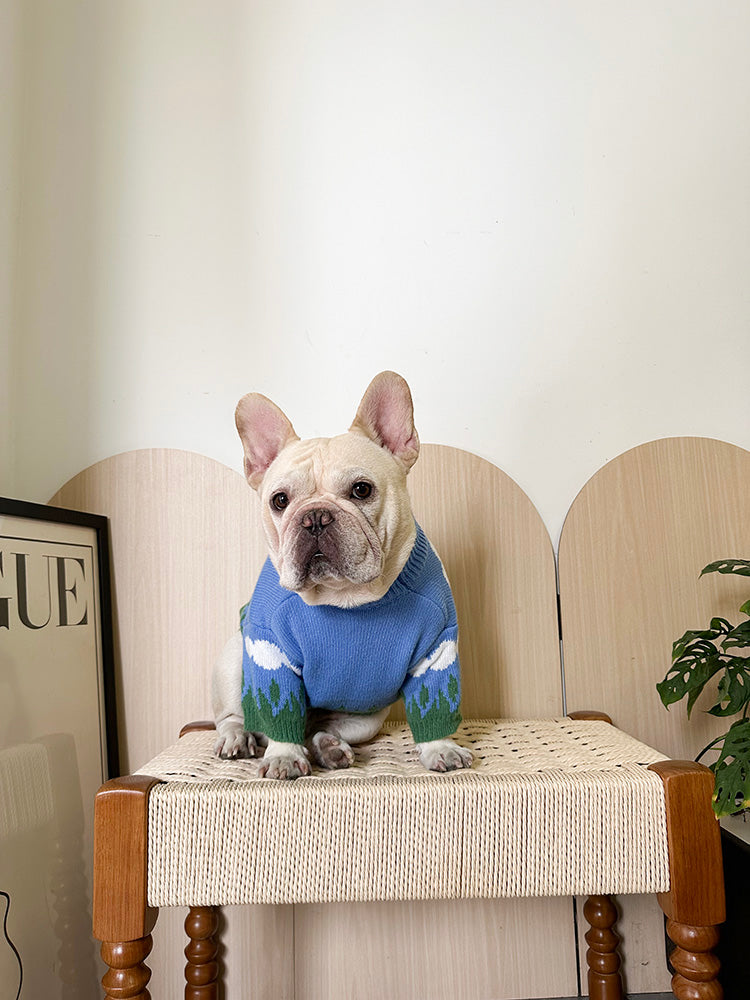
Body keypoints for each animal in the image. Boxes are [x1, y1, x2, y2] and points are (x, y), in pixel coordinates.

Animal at [212, 372, 470, 776]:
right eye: (280, 501)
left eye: (361, 490)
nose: (315, 517)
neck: (344, 595)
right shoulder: (269, 650)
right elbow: (278, 714)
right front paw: (283, 757)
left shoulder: (436, 651)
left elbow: (435, 703)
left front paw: (440, 747)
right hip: (233, 662)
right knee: (238, 719)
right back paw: (238, 738)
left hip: (366, 717)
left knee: (316, 729)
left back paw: (328, 748)